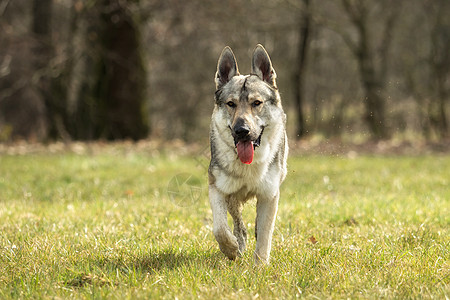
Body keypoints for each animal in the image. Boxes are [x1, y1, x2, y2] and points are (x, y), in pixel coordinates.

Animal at [208, 43, 288, 264]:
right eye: (231, 104)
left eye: (256, 103)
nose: (241, 130)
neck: (248, 165)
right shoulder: (216, 188)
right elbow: (220, 228)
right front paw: (231, 249)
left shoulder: (270, 194)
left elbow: (264, 236)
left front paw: (260, 266)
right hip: (231, 198)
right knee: (237, 223)